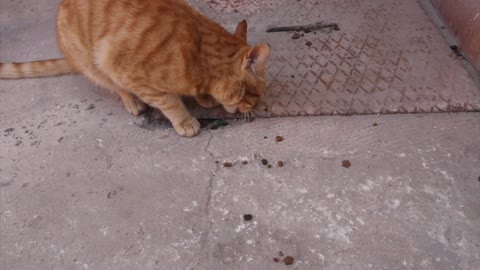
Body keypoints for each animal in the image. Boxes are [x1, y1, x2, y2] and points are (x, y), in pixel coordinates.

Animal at [0, 0, 270, 136]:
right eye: (256, 95)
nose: (255, 108)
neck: (199, 53)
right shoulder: (128, 72)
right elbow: (169, 103)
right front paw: (185, 121)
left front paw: (204, 98)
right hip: (96, 62)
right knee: (115, 86)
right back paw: (132, 102)